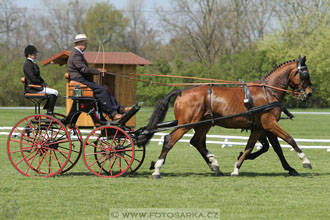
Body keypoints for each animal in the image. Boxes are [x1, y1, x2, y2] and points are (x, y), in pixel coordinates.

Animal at [139, 55, 312, 179]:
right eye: (305, 74)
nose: (309, 93)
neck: (268, 91)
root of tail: (181, 92)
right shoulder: (270, 124)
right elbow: (289, 140)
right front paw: (305, 161)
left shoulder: (261, 127)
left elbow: (262, 147)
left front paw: (237, 166)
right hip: (187, 124)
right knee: (169, 140)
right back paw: (157, 169)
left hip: (203, 124)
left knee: (196, 142)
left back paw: (214, 165)